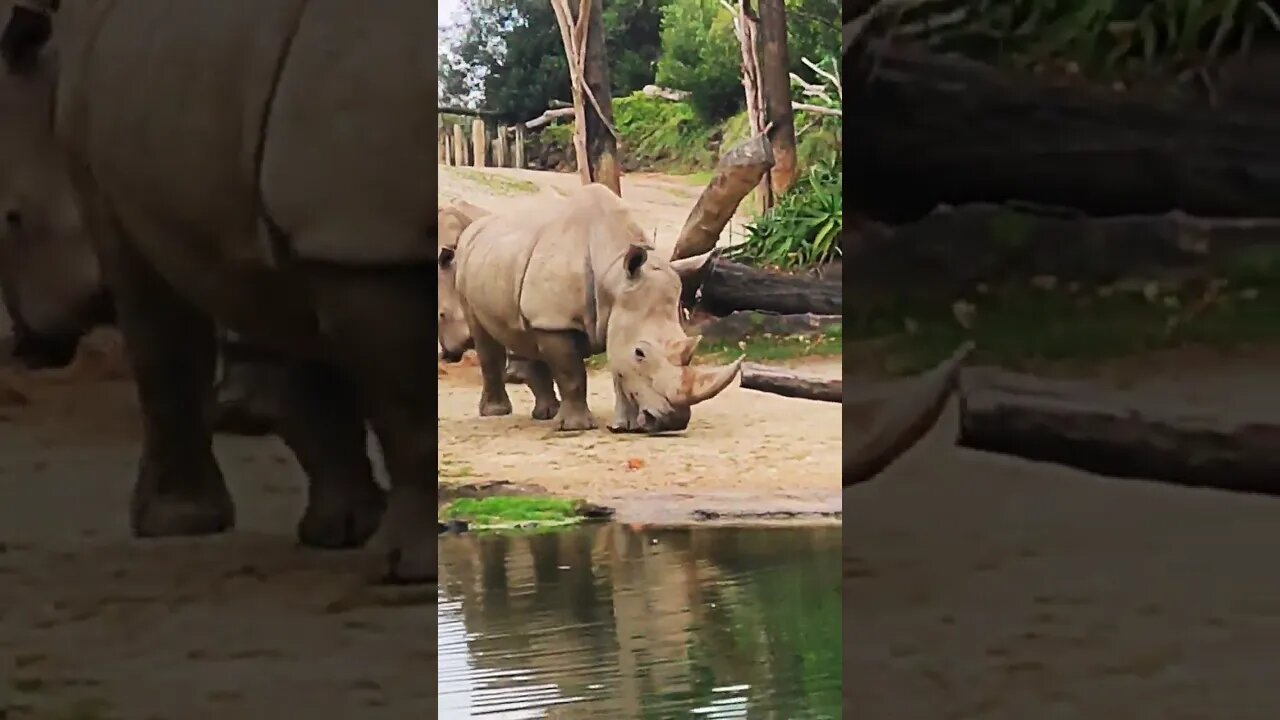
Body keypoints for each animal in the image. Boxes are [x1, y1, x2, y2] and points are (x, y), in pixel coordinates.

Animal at [1, 0, 435, 579]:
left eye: (12, 220)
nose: (29, 347)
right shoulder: (320, 223)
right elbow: (351, 382)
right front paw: (360, 543)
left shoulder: (354, 226)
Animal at [453, 184, 742, 430]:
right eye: (640, 353)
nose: (674, 422)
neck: (612, 274)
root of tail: (476, 225)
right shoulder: (558, 320)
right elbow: (571, 373)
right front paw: (577, 427)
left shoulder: (615, 310)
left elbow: (619, 372)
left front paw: (626, 427)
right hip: (465, 264)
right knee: (485, 337)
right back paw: (498, 413)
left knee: (525, 332)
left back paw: (546, 414)